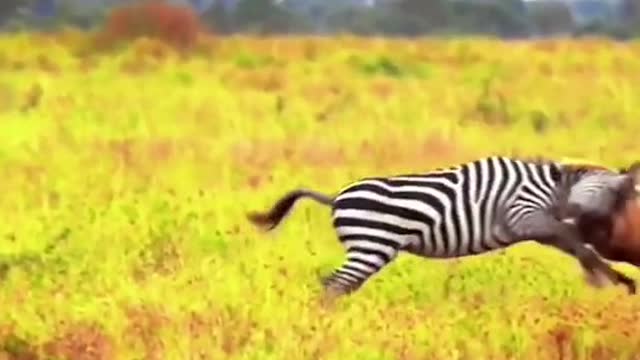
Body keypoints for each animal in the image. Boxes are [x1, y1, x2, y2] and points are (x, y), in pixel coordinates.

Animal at [248, 155, 636, 298]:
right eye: (617, 196)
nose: (613, 233)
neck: (553, 187)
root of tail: (334, 198)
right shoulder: (524, 214)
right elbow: (576, 242)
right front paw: (617, 281)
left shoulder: (536, 229)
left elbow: (577, 248)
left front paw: (612, 280)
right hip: (371, 247)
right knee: (335, 284)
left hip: (367, 249)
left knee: (340, 285)